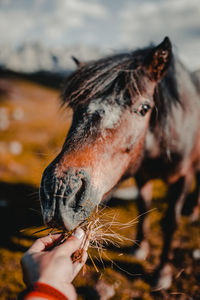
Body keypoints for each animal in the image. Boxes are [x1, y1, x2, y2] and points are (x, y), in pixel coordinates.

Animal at [39, 37, 200, 288]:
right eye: (76, 106)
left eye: (144, 108)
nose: (60, 193)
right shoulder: (142, 175)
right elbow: (143, 207)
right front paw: (140, 248)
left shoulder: (183, 177)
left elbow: (170, 223)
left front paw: (162, 273)